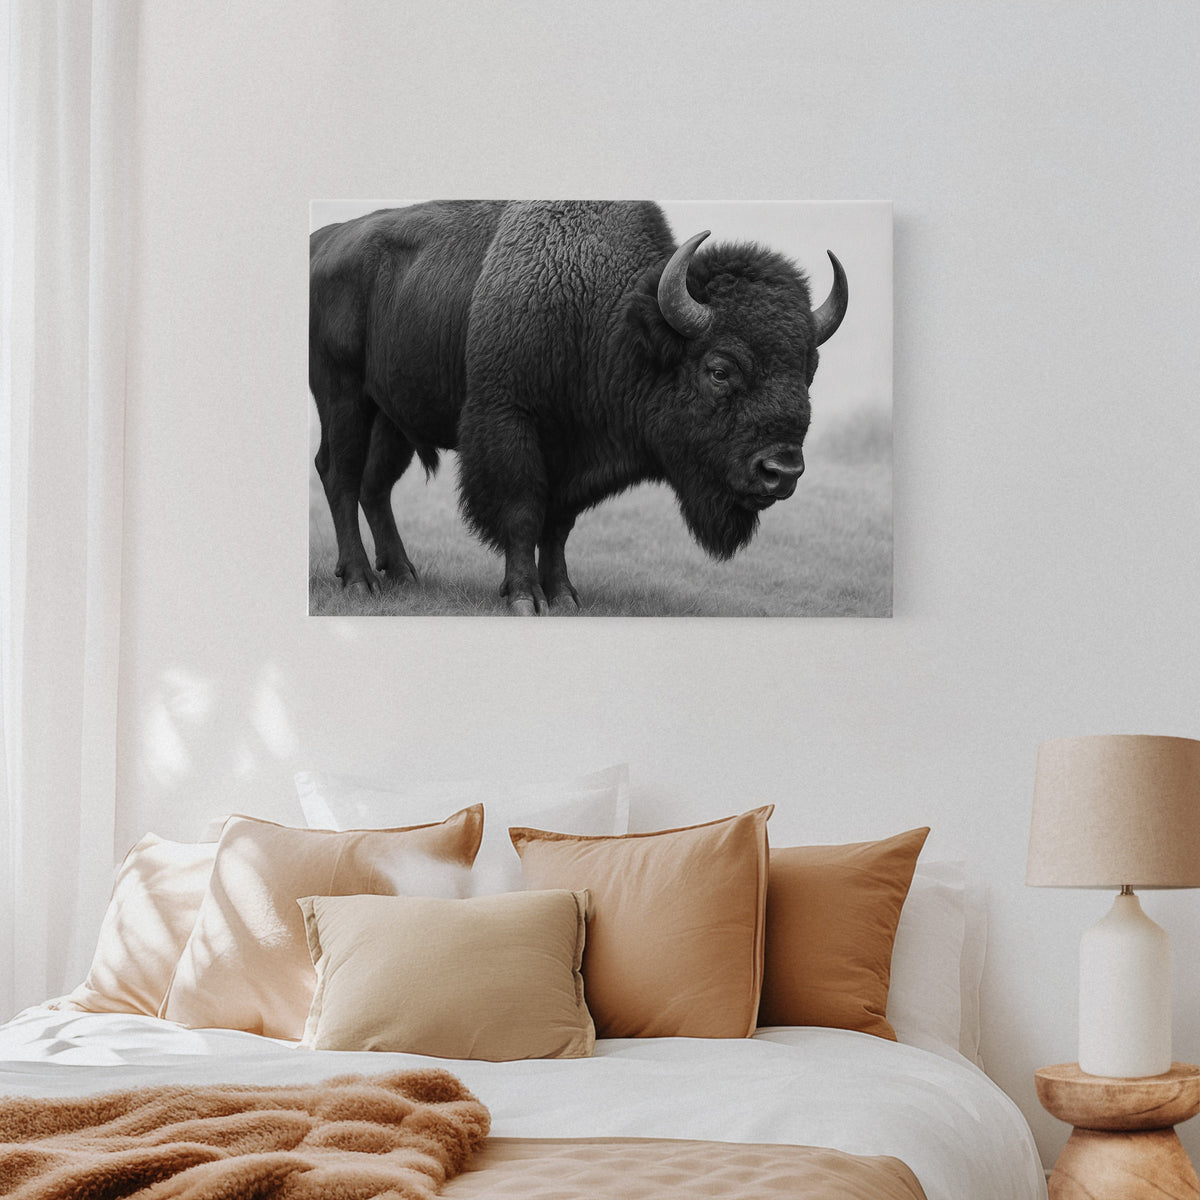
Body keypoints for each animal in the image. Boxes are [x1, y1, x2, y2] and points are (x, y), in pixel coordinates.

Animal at [309, 200, 848, 614]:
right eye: (719, 370)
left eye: (809, 370)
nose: (782, 471)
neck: (608, 317)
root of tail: (322, 242)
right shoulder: (512, 425)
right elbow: (523, 513)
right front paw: (524, 598)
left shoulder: (572, 460)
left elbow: (558, 525)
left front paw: (564, 595)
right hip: (342, 397)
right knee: (340, 475)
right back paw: (359, 580)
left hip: (391, 418)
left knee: (374, 486)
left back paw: (403, 573)